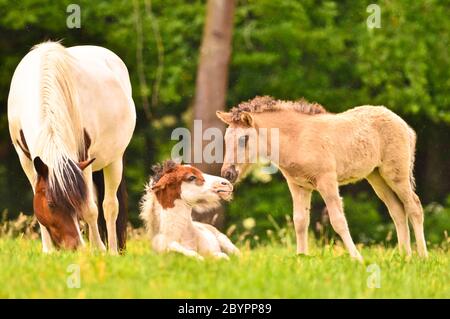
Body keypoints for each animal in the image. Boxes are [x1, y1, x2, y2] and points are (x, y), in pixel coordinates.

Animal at [7, 41, 135, 254]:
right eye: (50, 204)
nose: (74, 246)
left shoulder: (83, 158)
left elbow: (91, 208)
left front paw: (99, 250)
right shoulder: (26, 160)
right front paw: (48, 251)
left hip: (114, 159)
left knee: (110, 206)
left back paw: (113, 251)